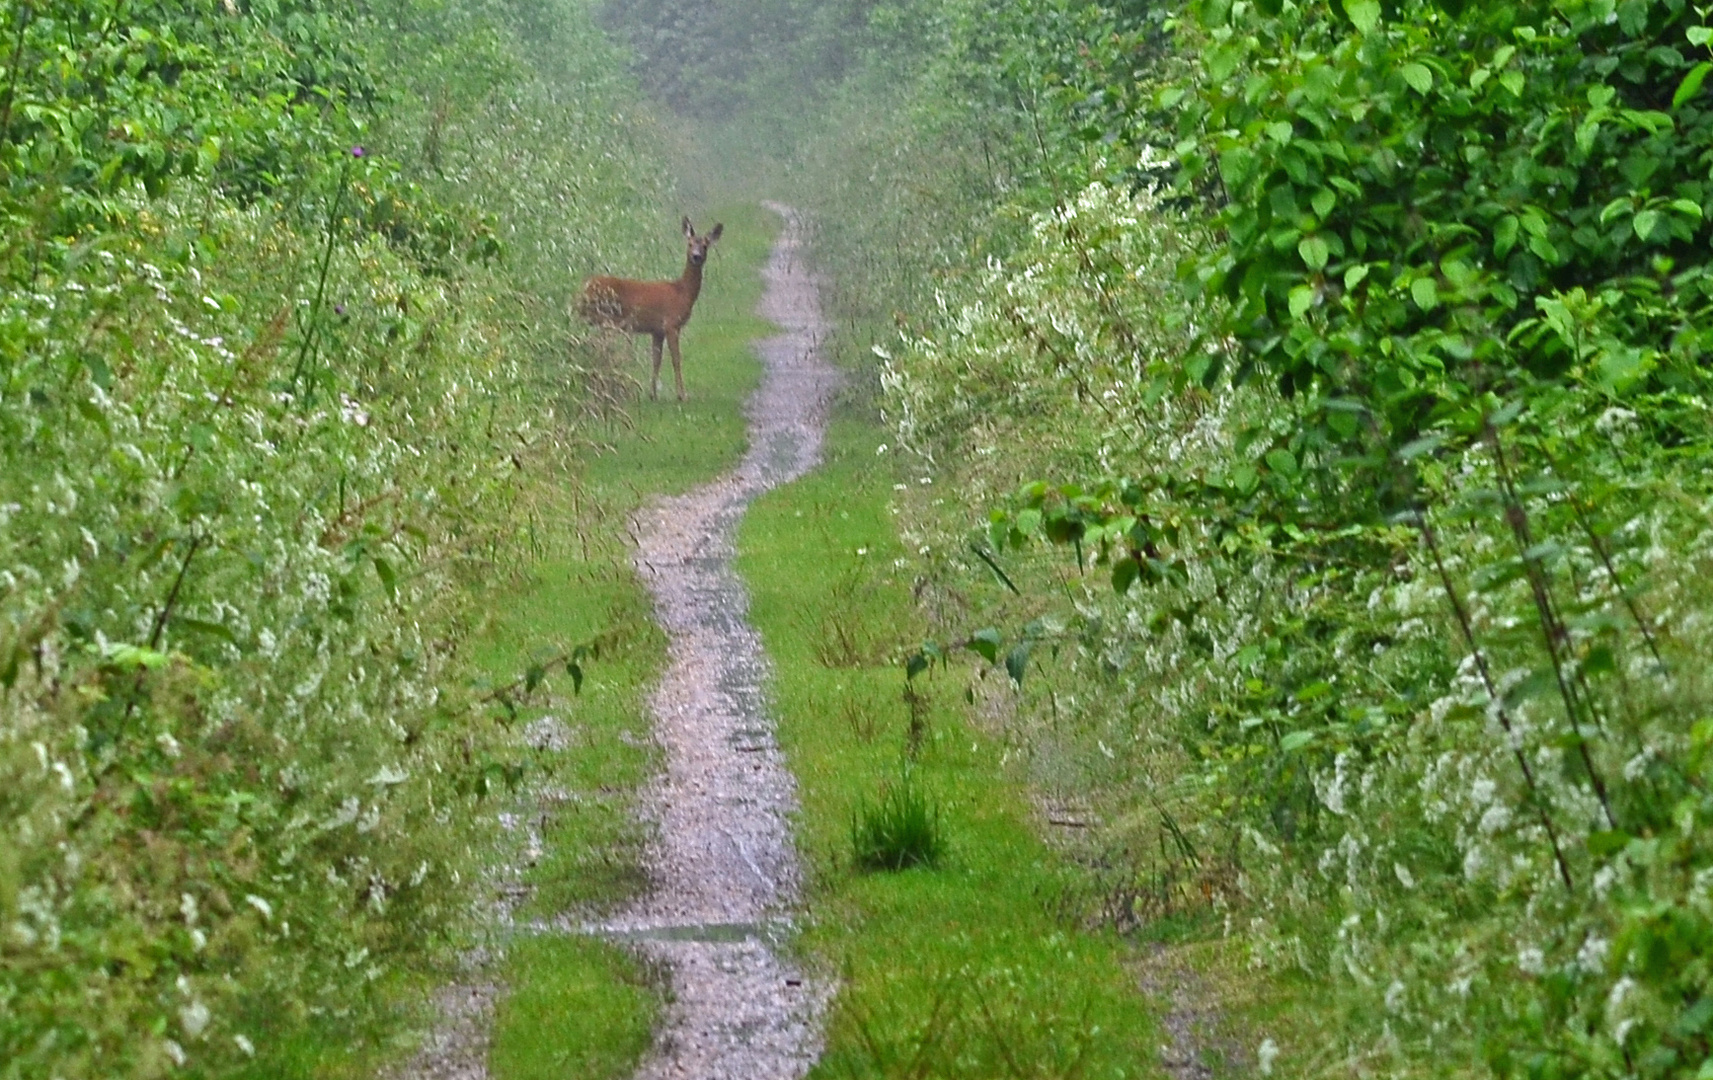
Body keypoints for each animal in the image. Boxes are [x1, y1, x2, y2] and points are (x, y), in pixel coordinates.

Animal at [575, 216, 722, 402]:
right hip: (604, 317)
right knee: (600, 347)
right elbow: (676, 359)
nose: (696, 256)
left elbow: (656, 359)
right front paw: (682, 395)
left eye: (705, 245)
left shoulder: (657, 330)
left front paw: (652, 394)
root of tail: (585, 287)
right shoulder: (671, 323)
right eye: (689, 244)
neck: (682, 292)